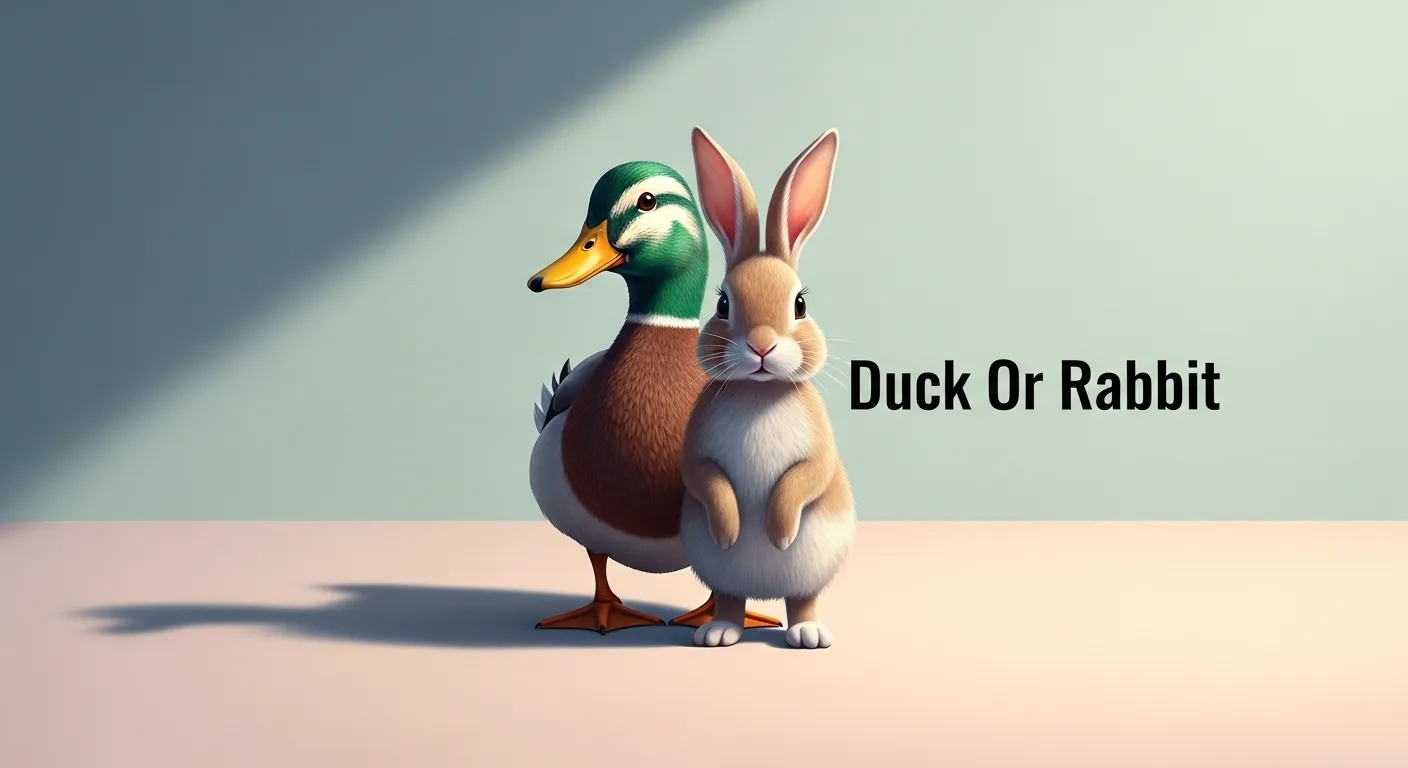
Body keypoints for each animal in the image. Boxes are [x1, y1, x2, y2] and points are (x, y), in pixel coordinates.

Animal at [678, 126, 856, 650]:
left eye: (799, 304)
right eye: (722, 303)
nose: (761, 346)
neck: (759, 393)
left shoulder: (819, 452)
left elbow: (807, 476)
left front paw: (778, 533)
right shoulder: (695, 449)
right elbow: (704, 477)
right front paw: (730, 530)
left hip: (812, 569)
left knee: (802, 598)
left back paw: (806, 633)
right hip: (719, 574)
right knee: (729, 596)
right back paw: (720, 632)